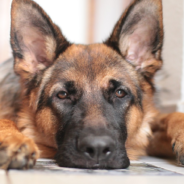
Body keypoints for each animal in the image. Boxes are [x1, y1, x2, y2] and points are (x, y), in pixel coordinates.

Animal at [0, 0, 184, 170]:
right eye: (63, 95)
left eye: (119, 93)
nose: (97, 149)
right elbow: (5, 119)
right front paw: (14, 139)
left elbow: (171, 115)